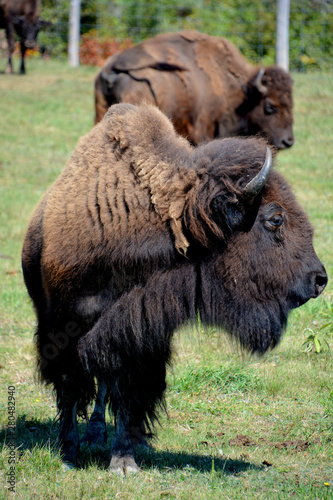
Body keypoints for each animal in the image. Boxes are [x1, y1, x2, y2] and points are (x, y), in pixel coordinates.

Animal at [22, 102, 326, 472]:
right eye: (275, 219)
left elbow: (128, 391)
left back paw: (107, 434)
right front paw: (68, 454)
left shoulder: (140, 336)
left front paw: (123, 460)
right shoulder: (61, 327)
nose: (319, 279)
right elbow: (69, 386)